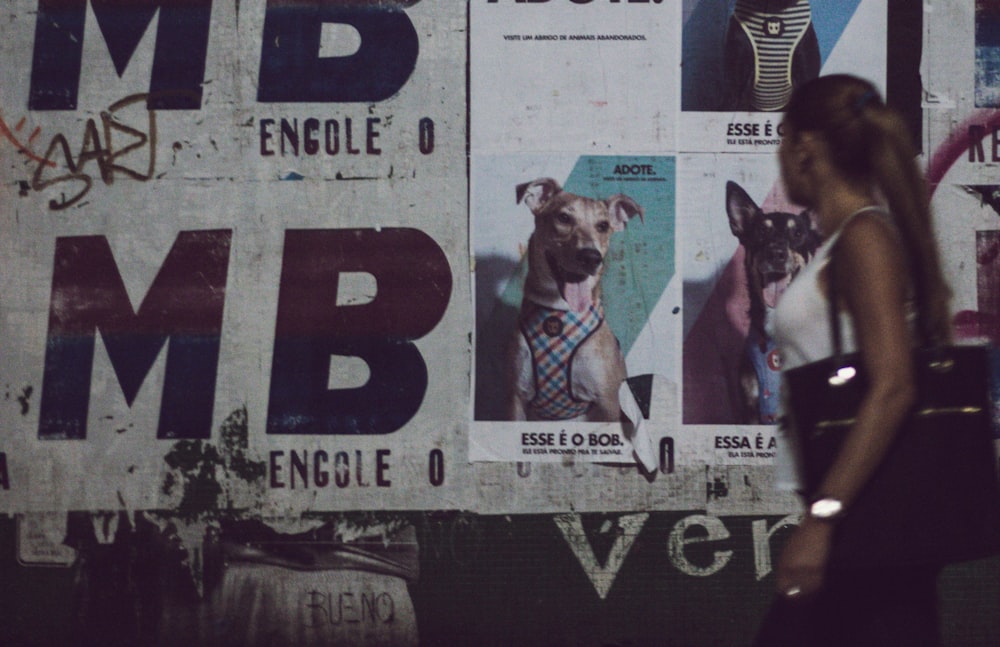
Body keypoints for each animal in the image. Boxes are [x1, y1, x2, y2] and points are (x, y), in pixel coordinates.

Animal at [504, 177, 644, 422]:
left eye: (603, 226)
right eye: (563, 218)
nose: (591, 257)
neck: (559, 312)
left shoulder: (607, 401)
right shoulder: (516, 398)